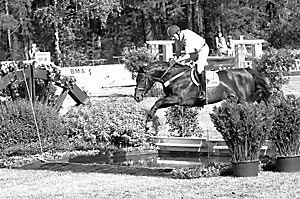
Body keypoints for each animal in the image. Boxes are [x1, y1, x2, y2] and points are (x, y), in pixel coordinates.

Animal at [134, 61, 272, 129]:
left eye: (142, 79)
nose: (137, 97)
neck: (174, 77)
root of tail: (246, 70)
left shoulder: (179, 99)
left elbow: (158, 101)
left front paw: (149, 123)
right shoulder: (171, 100)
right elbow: (157, 104)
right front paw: (149, 122)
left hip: (244, 99)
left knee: (260, 94)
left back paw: (267, 107)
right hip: (237, 99)